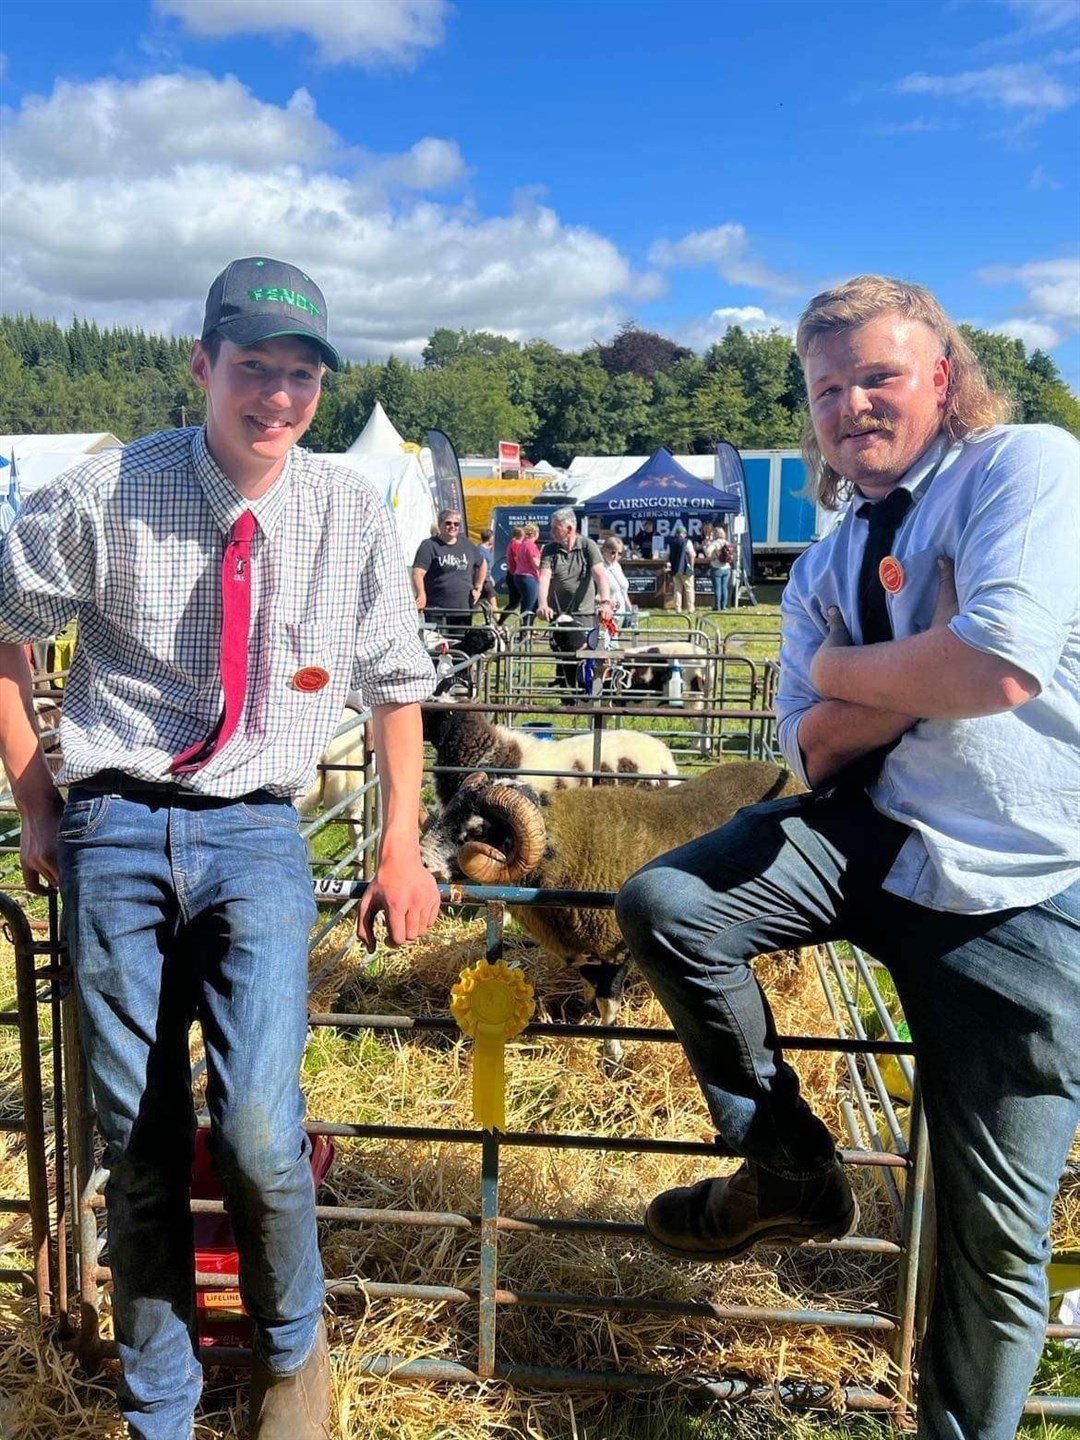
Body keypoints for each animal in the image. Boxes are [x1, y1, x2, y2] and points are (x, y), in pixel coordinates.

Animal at [420, 760, 806, 1054]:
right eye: (448, 812)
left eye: (477, 830)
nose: (422, 864)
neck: (569, 848)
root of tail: (783, 771)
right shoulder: (585, 952)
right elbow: (591, 994)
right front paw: (587, 1019)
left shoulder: (614, 949)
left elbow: (609, 1005)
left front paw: (612, 1054)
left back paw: (792, 981)